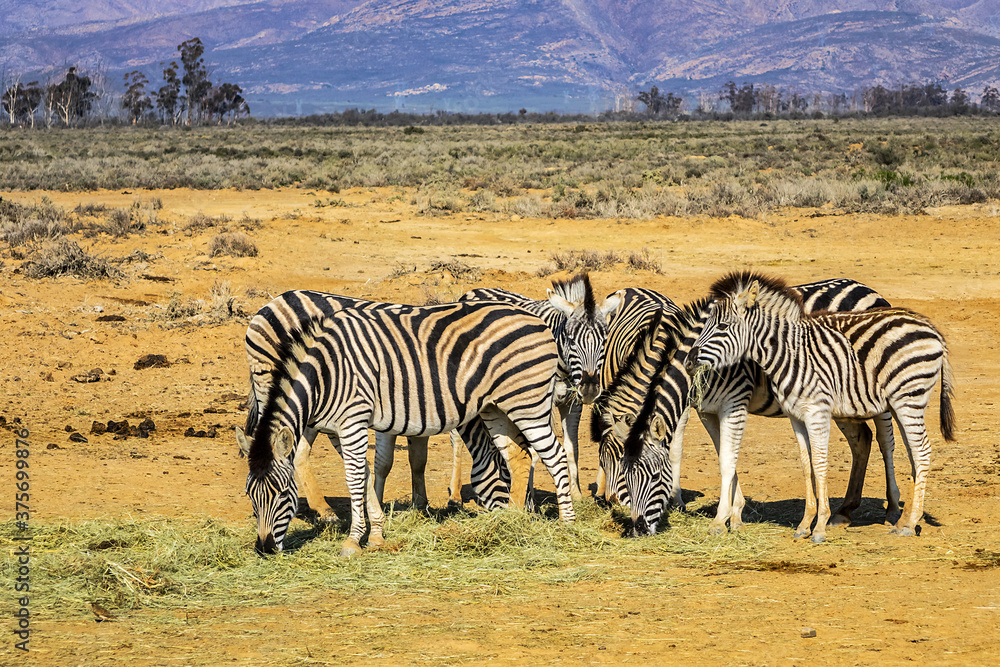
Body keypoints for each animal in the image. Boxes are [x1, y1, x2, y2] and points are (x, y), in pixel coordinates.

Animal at [237, 299, 576, 556]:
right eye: (250, 495)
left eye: (283, 493)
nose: (265, 549)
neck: (327, 372)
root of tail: (537, 319)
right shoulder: (349, 424)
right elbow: (368, 473)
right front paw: (375, 534)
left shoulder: (353, 419)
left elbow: (356, 477)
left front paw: (353, 540)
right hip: (496, 406)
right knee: (519, 457)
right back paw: (512, 522)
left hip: (528, 402)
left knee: (554, 455)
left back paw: (567, 524)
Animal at [619, 278, 901, 537]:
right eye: (625, 477)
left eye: (655, 477)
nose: (637, 530)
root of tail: (865, 287)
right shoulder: (707, 410)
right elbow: (724, 457)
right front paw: (735, 515)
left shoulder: (734, 401)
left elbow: (727, 460)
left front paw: (723, 518)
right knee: (862, 439)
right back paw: (844, 511)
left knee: (886, 440)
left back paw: (892, 510)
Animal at [689, 271, 955, 542]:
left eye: (722, 326)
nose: (689, 361)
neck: (789, 354)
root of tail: (931, 329)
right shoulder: (796, 416)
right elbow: (807, 466)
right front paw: (805, 524)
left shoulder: (816, 411)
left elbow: (819, 463)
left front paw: (819, 527)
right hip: (900, 403)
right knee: (911, 453)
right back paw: (903, 518)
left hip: (908, 399)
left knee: (919, 451)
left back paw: (908, 523)